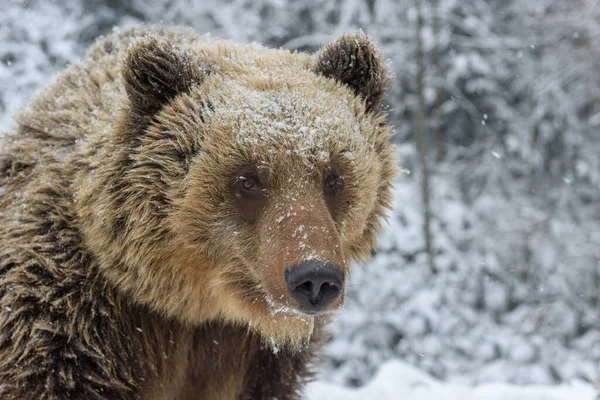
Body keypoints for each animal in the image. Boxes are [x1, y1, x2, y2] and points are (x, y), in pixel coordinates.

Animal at [0, 25, 396, 400]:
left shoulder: (256, 361)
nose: (314, 278)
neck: (190, 306)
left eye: (333, 176)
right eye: (248, 179)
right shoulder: (63, 318)